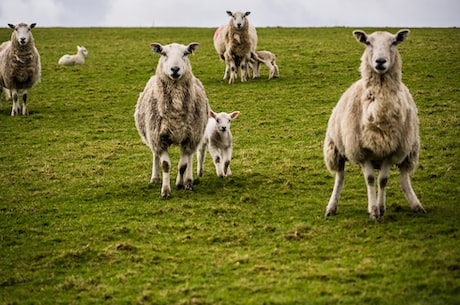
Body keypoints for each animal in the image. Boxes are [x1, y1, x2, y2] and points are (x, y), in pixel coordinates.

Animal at [135, 42, 210, 200]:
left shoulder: (189, 137)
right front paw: (165, 190)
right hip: (152, 136)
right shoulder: (159, 138)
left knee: (190, 157)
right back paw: (155, 178)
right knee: (155, 155)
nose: (175, 69)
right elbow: (165, 165)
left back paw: (188, 181)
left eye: (185, 53)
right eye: (164, 53)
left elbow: (183, 165)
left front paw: (180, 184)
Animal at [322, 29, 426, 218]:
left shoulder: (392, 152)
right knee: (340, 177)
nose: (380, 61)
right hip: (336, 149)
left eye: (394, 42)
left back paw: (415, 205)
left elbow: (383, 180)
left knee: (404, 177)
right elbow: (370, 179)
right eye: (368, 42)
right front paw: (373, 210)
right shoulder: (361, 152)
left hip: (409, 151)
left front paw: (379, 208)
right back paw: (331, 207)